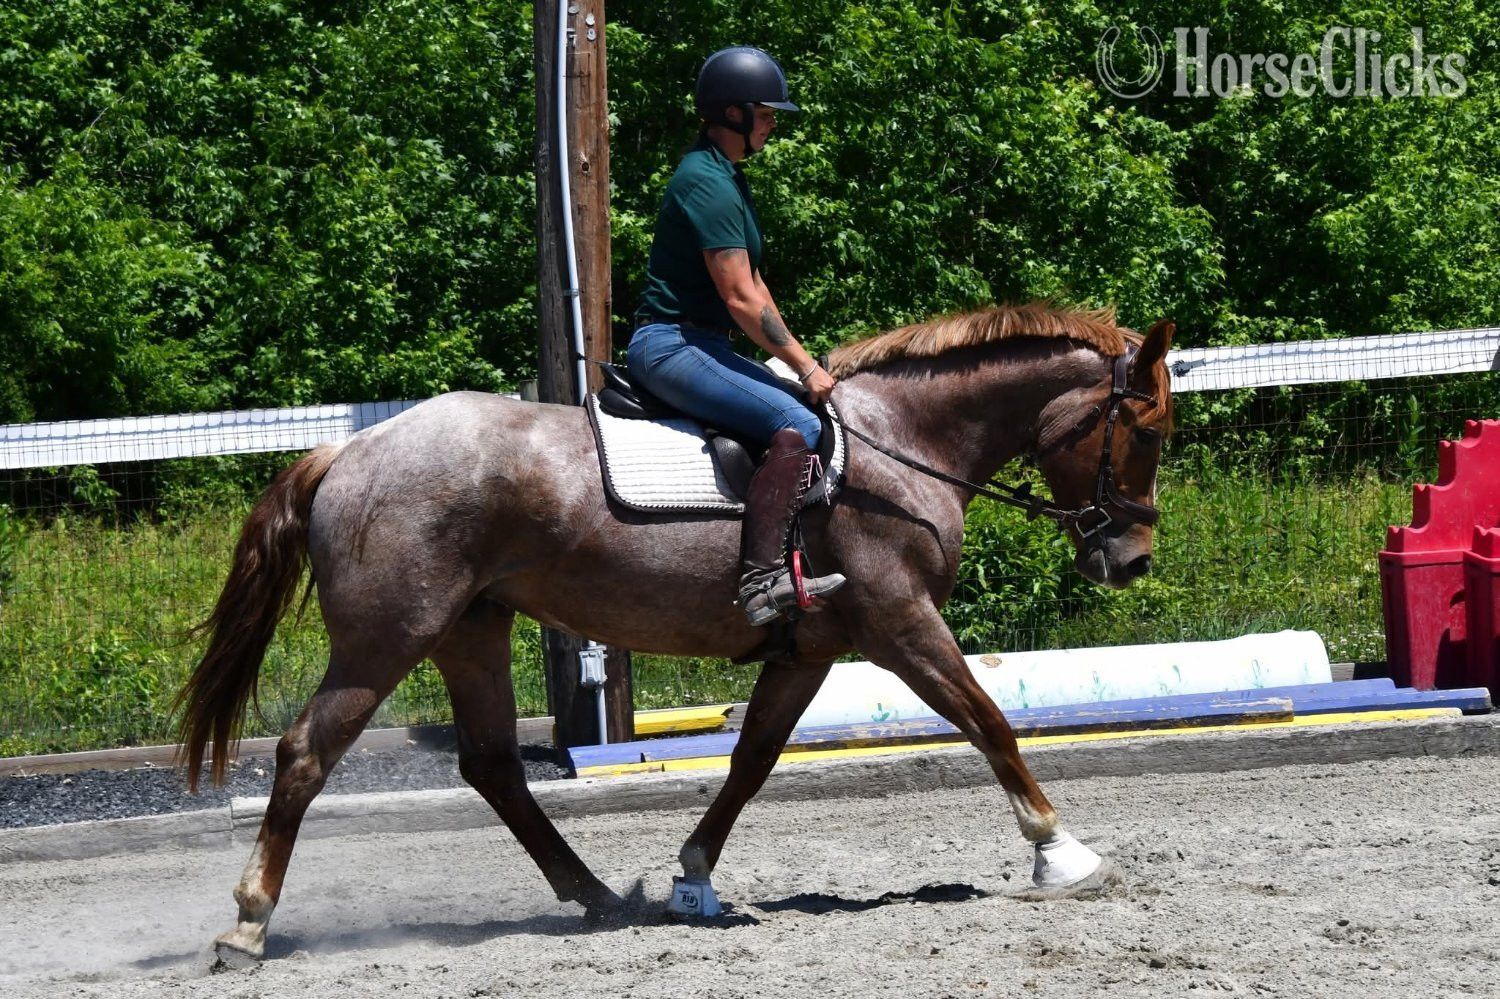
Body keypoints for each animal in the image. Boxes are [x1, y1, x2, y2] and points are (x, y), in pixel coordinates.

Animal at [175, 301, 1174, 962]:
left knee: (493, 765)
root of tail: (350, 448)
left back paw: (595, 896)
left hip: (470, 630)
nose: (1130, 559)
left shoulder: (810, 649)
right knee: (307, 751)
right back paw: (249, 921)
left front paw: (693, 875)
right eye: (1149, 426)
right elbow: (987, 719)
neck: (898, 446)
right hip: (388, 635)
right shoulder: (899, 622)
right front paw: (1060, 851)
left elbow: (753, 759)